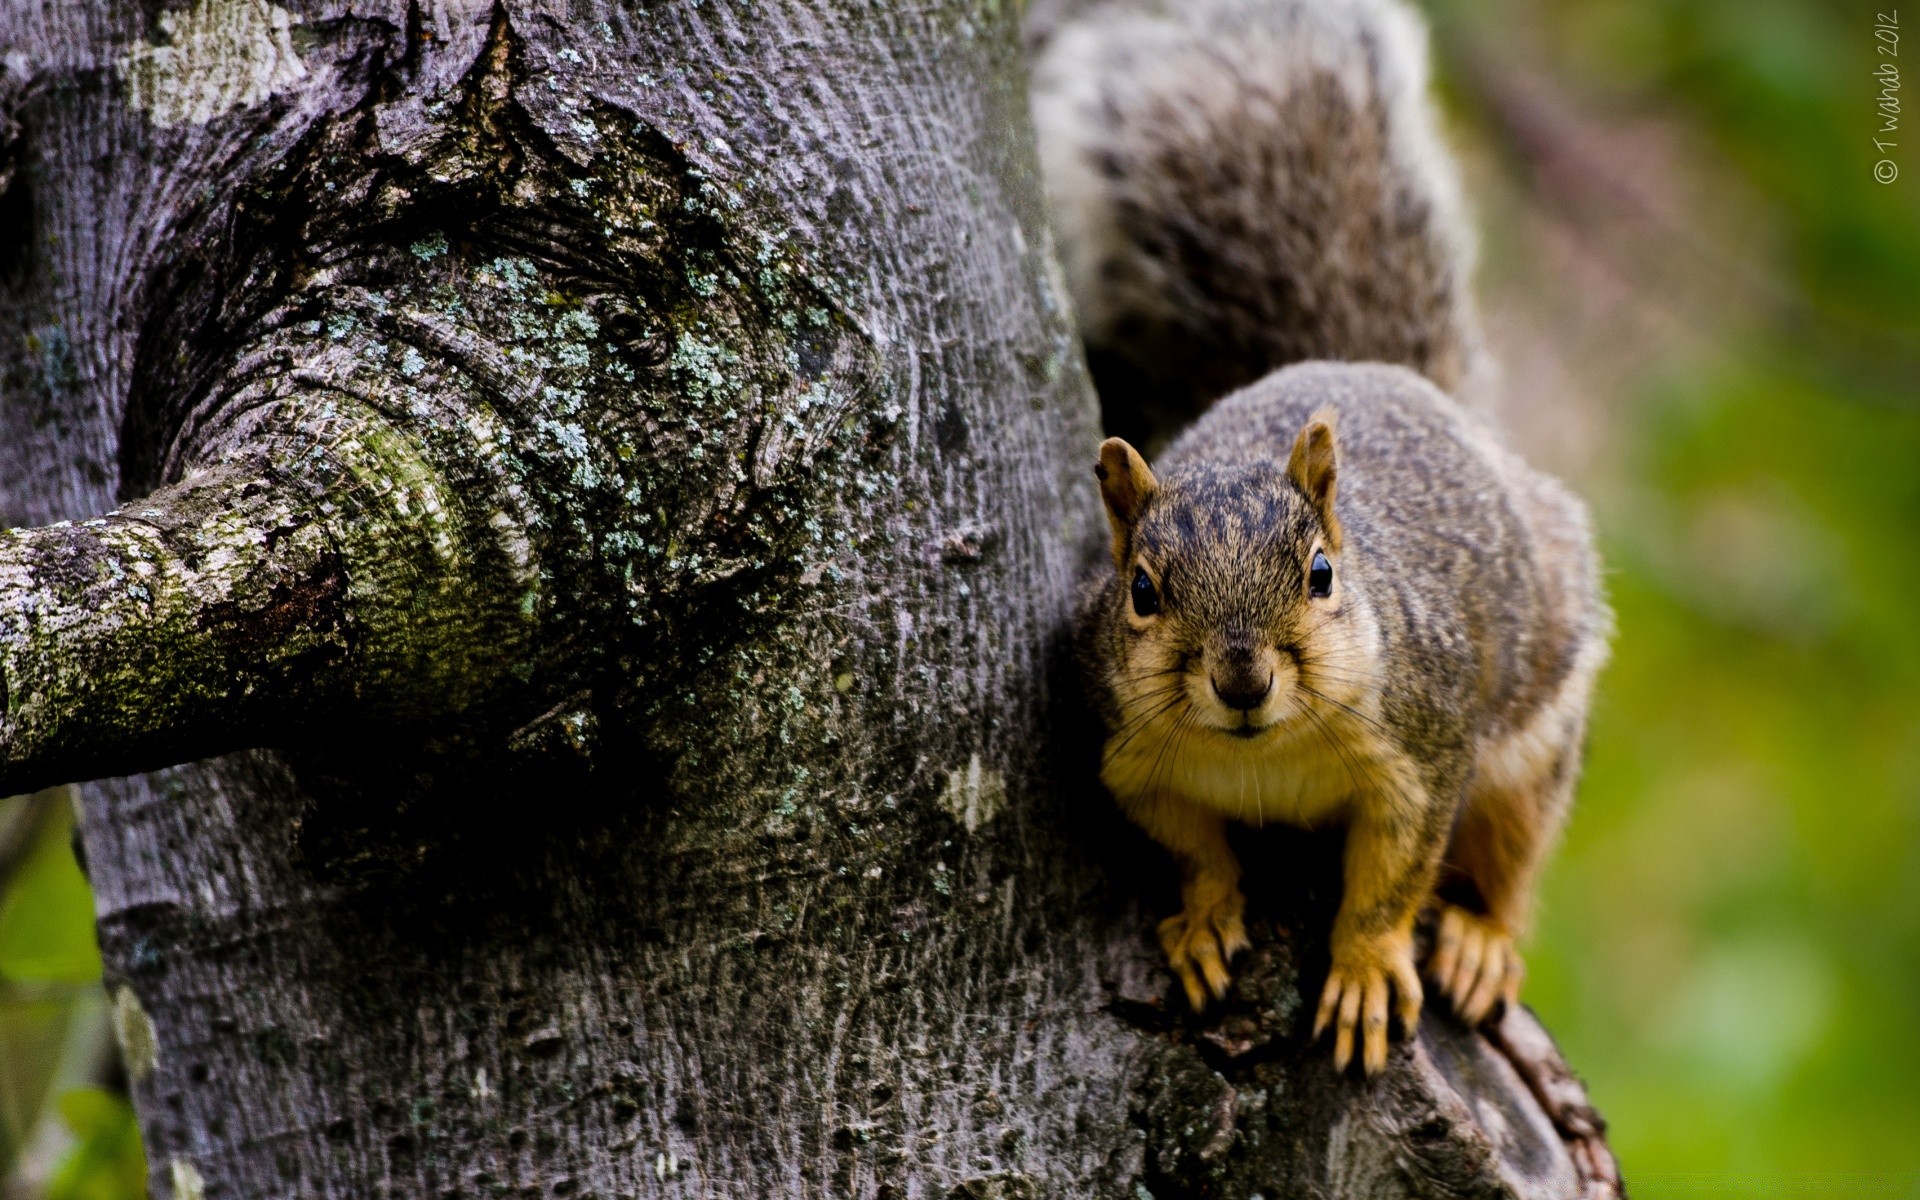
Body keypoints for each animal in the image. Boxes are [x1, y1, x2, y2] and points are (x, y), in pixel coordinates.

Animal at [1044, 0, 1612, 1075]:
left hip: (1538, 731)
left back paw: (1482, 937)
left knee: (1513, 846)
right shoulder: (1126, 760)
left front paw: (1364, 970)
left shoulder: (1425, 748)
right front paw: (1207, 918)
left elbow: (1395, 876)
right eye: (1141, 590)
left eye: (1319, 574)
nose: (1242, 680)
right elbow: (1190, 849)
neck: (1261, 754)